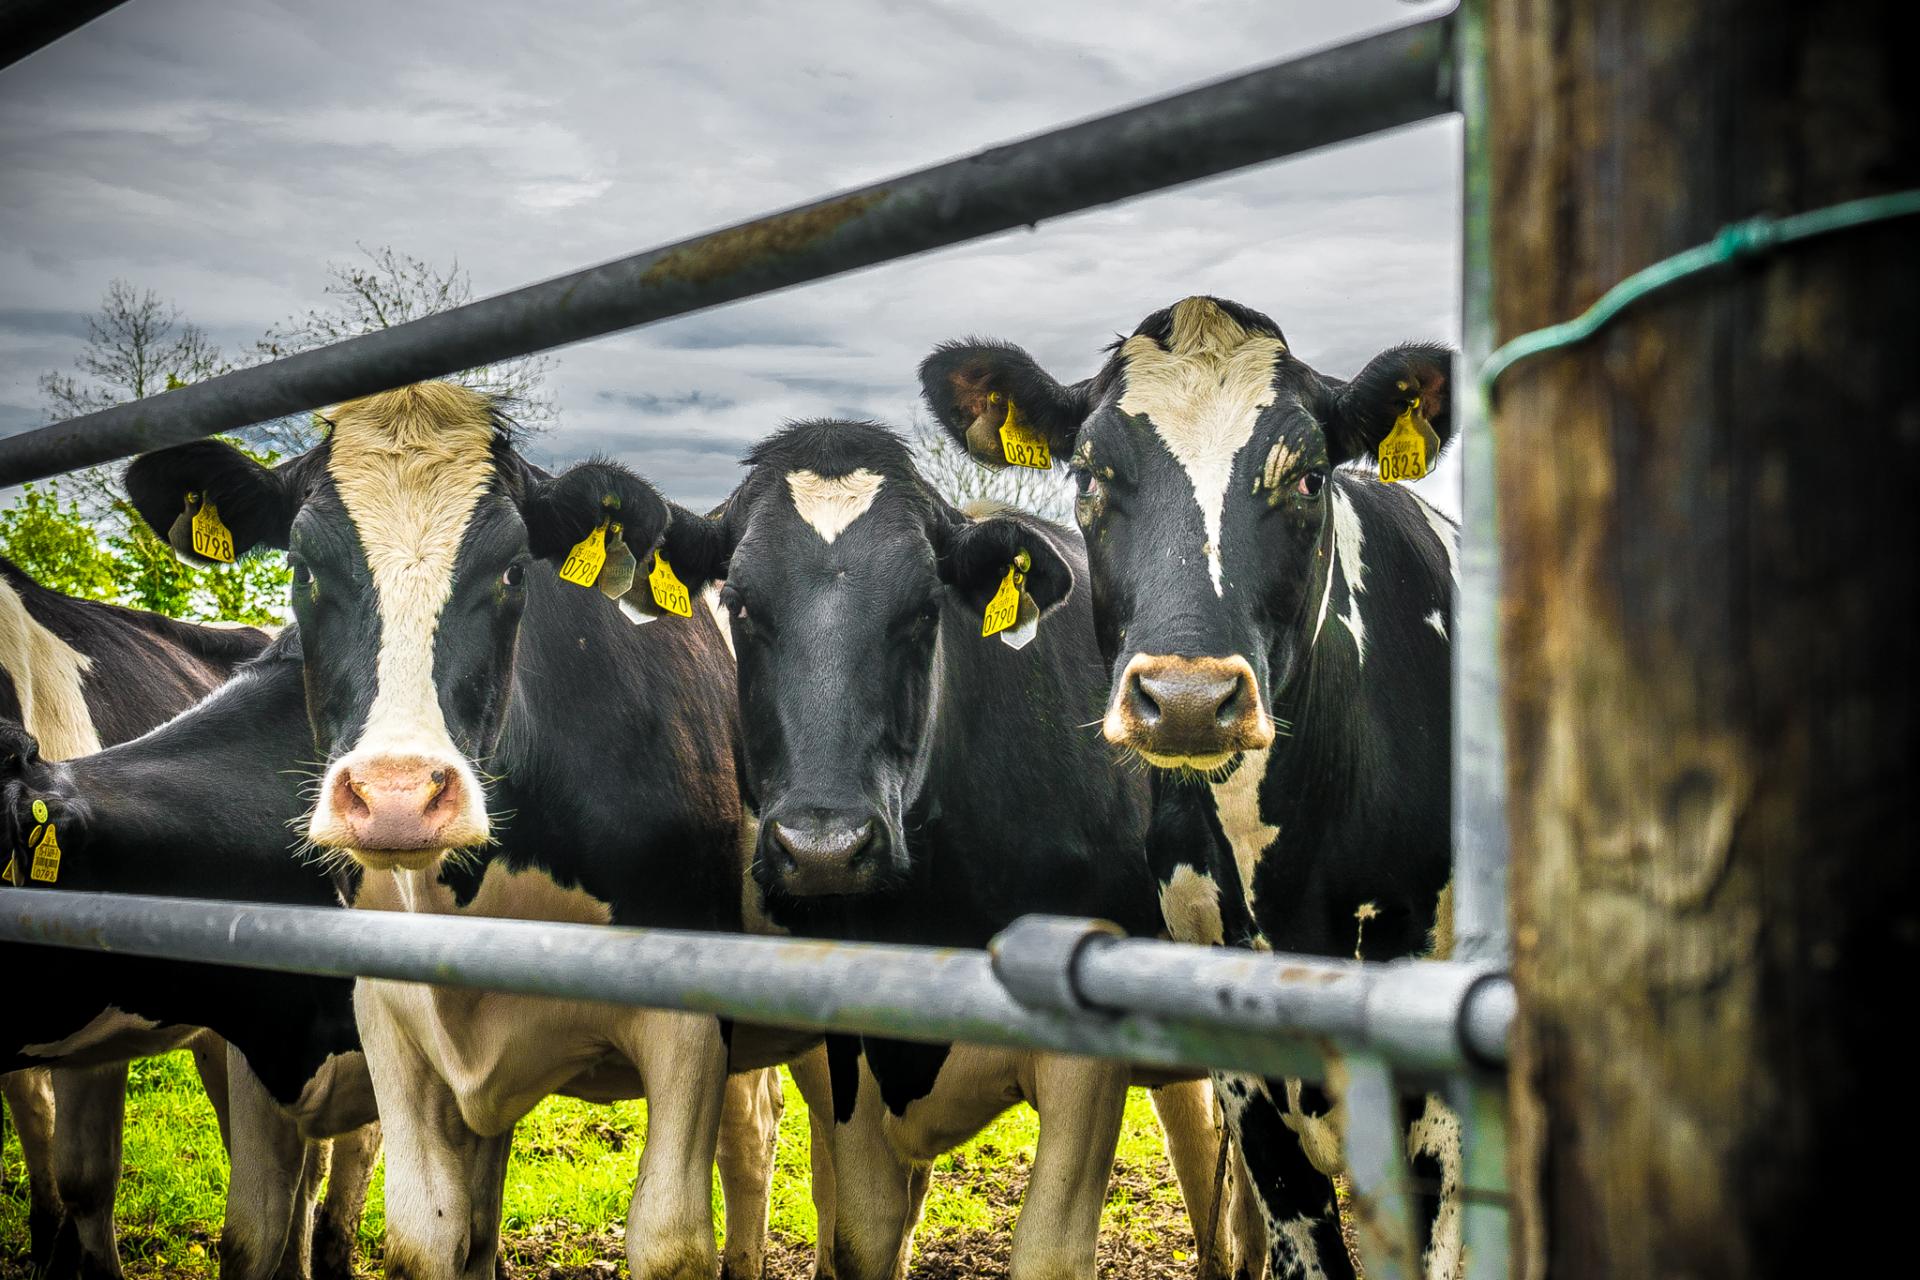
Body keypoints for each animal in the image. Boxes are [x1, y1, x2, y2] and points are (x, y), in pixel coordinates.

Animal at [122, 381, 822, 1280]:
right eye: (302, 567)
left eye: (511, 569)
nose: (395, 795)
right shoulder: (391, 1017)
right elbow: (426, 1237)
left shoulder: (687, 1019)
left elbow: (669, 1240)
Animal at [652, 418, 1256, 1280]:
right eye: (739, 605)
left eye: (922, 608)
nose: (825, 847)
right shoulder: (851, 1051)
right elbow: (863, 1235)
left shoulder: (1084, 1055)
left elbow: (1049, 1255)